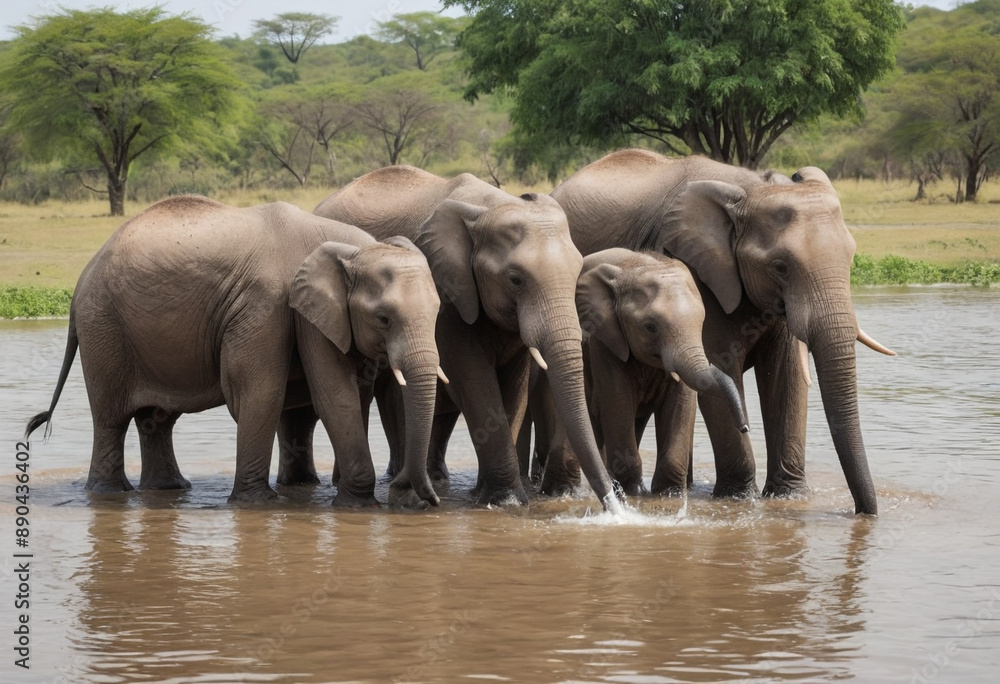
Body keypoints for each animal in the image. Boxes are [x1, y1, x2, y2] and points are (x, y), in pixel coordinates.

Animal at [25, 195, 445, 507]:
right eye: (383, 318)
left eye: (439, 311)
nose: (417, 496)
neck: (354, 248)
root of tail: (82, 279)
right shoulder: (276, 305)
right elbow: (292, 393)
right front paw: (262, 504)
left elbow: (352, 394)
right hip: (103, 327)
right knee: (111, 417)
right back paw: (110, 496)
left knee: (156, 419)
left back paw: (168, 489)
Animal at [313, 166, 622, 511]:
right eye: (515, 279)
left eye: (578, 271)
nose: (616, 505)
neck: (489, 207)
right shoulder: (448, 293)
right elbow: (473, 379)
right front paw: (507, 500)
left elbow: (514, 387)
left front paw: (489, 496)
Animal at [532, 248, 749, 497]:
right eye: (650, 327)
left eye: (701, 322)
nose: (744, 427)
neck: (636, 264)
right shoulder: (603, 342)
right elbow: (618, 403)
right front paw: (633, 492)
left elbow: (681, 402)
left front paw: (669, 493)